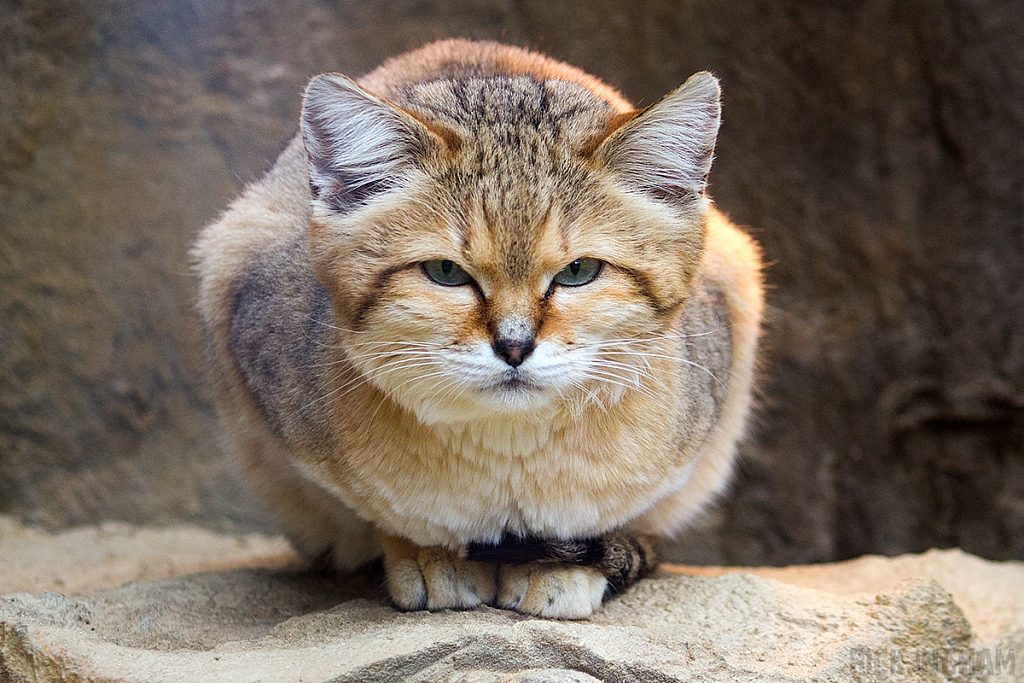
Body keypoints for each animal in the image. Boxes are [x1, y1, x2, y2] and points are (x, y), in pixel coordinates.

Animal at [197, 40, 761, 622]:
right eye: (446, 272)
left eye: (578, 272)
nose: (514, 347)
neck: (507, 459)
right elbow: (389, 519)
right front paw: (429, 557)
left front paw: (561, 570)